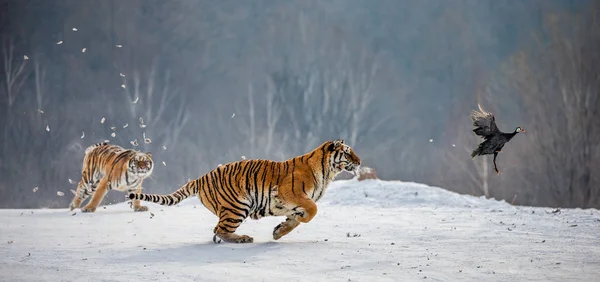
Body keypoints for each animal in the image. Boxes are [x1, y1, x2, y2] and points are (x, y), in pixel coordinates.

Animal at [127, 140, 360, 243]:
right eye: (348, 153)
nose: (359, 162)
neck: (328, 172)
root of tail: (201, 178)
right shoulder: (291, 194)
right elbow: (312, 210)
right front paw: (294, 222)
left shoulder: (292, 204)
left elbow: (294, 219)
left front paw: (279, 231)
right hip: (238, 206)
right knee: (220, 229)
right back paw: (242, 238)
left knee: (216, 231)